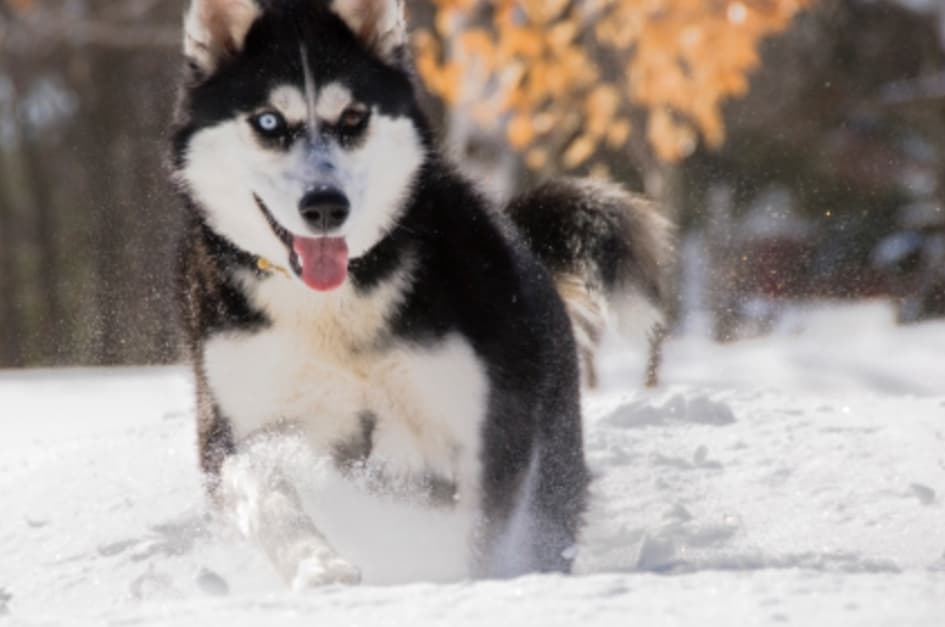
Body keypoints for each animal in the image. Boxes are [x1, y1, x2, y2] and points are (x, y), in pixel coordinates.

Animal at [171, 0, 672, 588]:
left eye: (353, 118)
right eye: (269, 121)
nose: (325, 206)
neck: (335, 304)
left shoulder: (481, 426)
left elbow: (469, 525)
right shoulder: (238, 426)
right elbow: (266, 493)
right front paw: (318, 564)